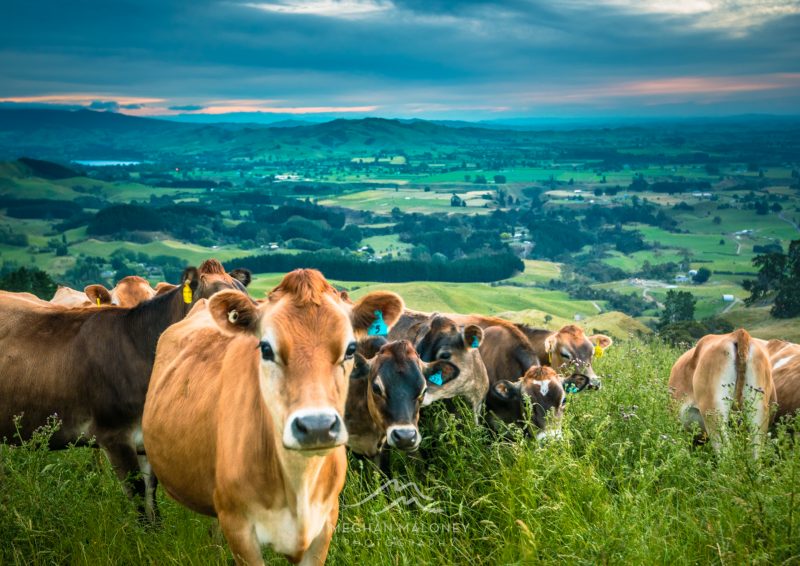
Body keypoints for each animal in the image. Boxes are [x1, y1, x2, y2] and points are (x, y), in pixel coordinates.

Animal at [141, 270, 404, 566]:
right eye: (266, 348)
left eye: (350, 349)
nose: (317, 427)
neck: (297, 483)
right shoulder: (239, 528)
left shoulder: (325, 524)